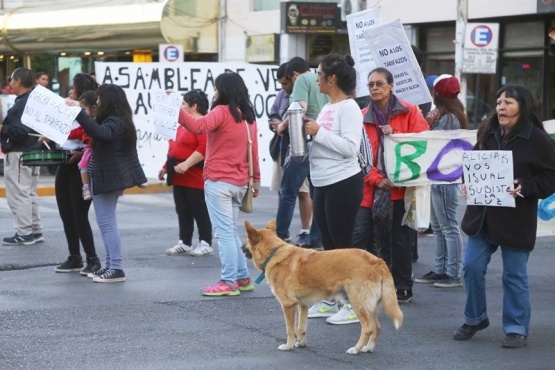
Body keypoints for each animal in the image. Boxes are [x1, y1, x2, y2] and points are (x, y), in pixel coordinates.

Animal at [243, 220, 404, 356]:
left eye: (246, 242)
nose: (240, 247)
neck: (274, 253)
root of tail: (378, 261)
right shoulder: (303, 305)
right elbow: (301, 327)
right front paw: (301, 343)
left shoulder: (288, 306)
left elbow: (290, 329)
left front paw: (288, 346)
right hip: (370, 306)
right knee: (377, 328)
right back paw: (368, 348)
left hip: (358, 304)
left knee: (368, 329)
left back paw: (356, 349)